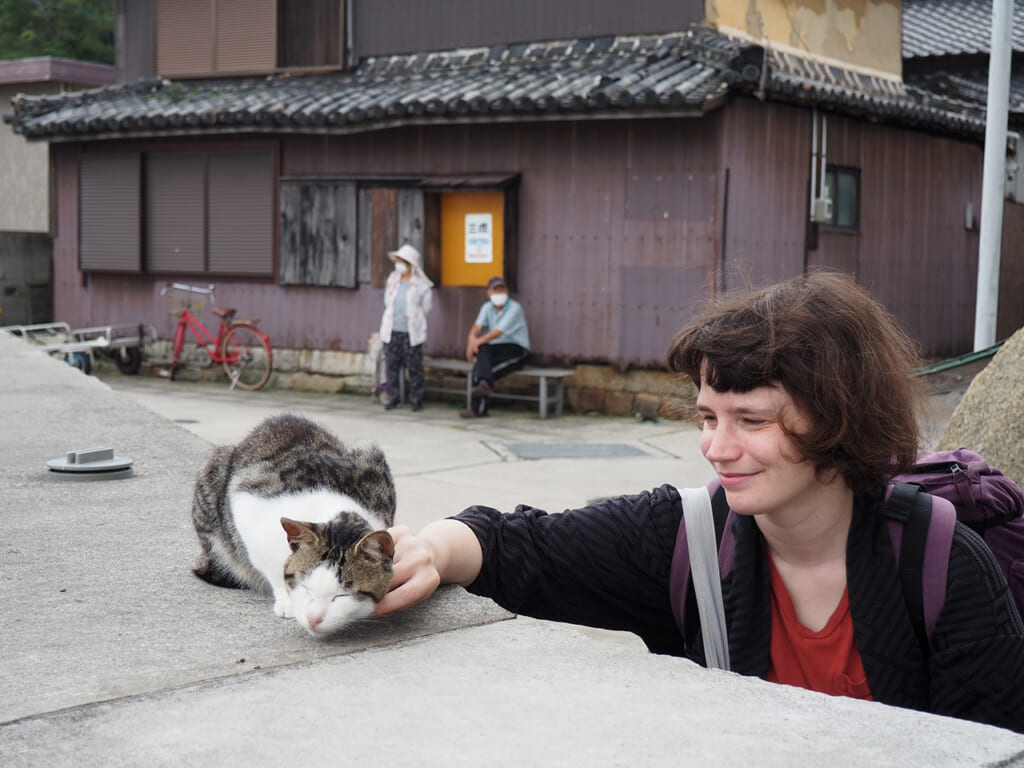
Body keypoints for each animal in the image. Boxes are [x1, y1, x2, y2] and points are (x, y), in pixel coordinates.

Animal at [190, 415, 397, 638]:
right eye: (305, 587)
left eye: (342, 596)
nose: (314, 618)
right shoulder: (245, 501)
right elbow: (270, 567)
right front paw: (288, 600)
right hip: (213, 473)